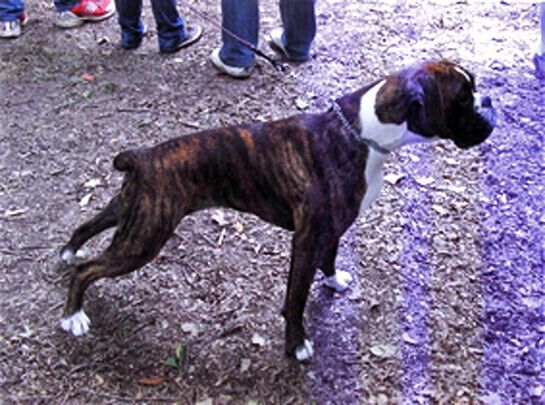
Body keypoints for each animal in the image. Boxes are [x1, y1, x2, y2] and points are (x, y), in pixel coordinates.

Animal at [59, 60, 496, 361]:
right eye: (463, 97)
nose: (489, 100)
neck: (364, 132)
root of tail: (144, 156)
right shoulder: (306, 239)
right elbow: (295, 297)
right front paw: (296, 345)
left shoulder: (332, 228)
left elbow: (329, 258)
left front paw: (333, 282)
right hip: (145, 237)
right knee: (89, 270)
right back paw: (73, 316)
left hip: (131, 212)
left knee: (87, 226)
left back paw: (68, 253)